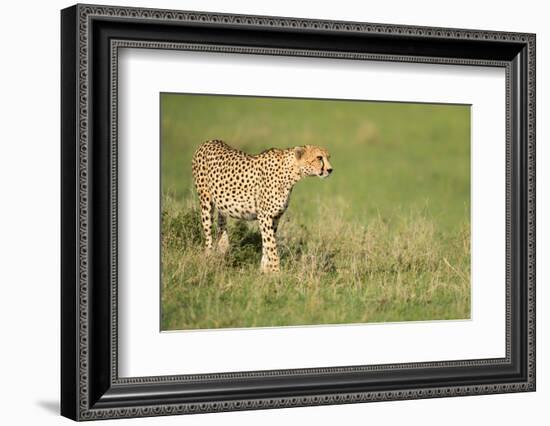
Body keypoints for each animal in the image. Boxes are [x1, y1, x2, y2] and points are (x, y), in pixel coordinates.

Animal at [192, 140, 334, 272]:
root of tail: (209, 141)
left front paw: (264, 270)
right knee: (208, 236)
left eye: (328, 157)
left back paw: (223, 250)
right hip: (205, 203)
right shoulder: (265, 216)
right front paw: (276, 272)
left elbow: (267, 244)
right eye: (319, 158)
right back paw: (209, 259)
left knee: (221, 224)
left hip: (222, 204)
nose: (330, 170)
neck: (292, 173)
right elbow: (271, 246)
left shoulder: (275, 217)